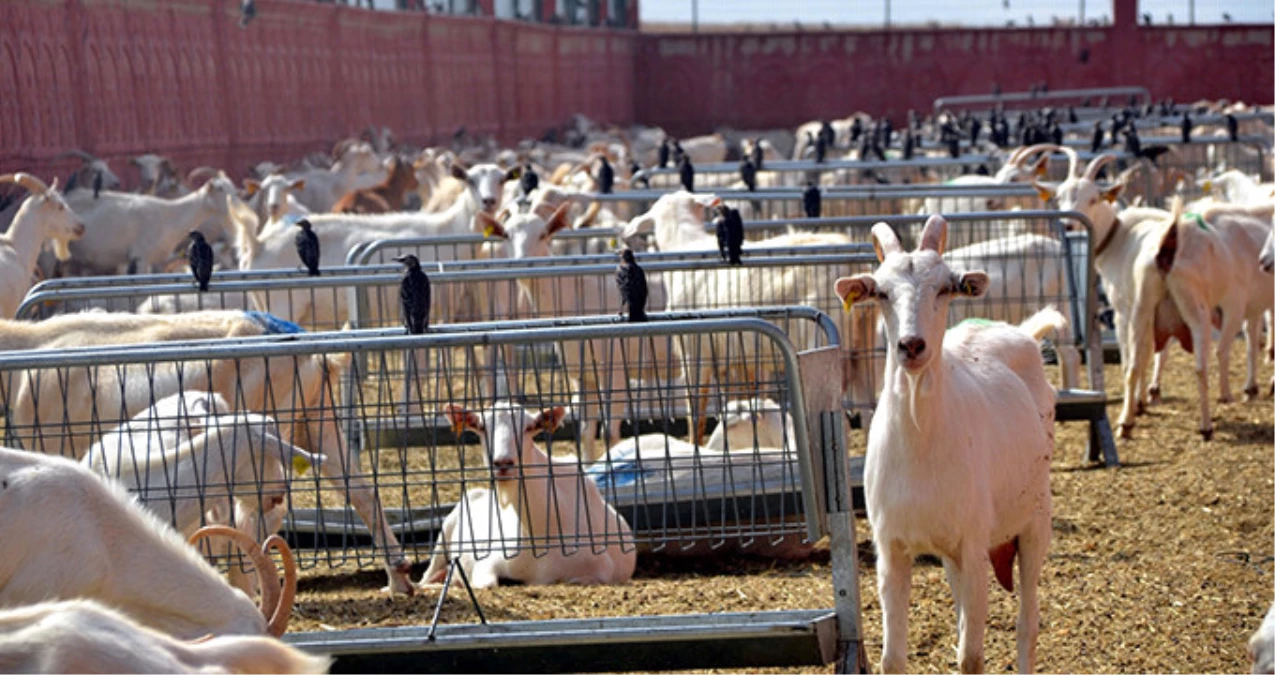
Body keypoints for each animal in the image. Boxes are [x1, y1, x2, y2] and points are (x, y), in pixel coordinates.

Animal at [418, 403, 637, 586]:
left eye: (529, 428)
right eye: (482, 427)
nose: (503, 463)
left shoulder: (601, 569)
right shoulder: (490, 561)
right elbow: (487, 583)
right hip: (445, 534)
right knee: (426, 575)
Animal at [836, 215, 1055, 673]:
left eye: (944, 288)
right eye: (881, 291)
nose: (911, 345)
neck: (921, 441)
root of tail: (1021, 332)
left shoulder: (972, 547)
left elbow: (970, 656)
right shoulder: (892, 551)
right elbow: (893, 659)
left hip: (1035, 521)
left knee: (1027, 623)